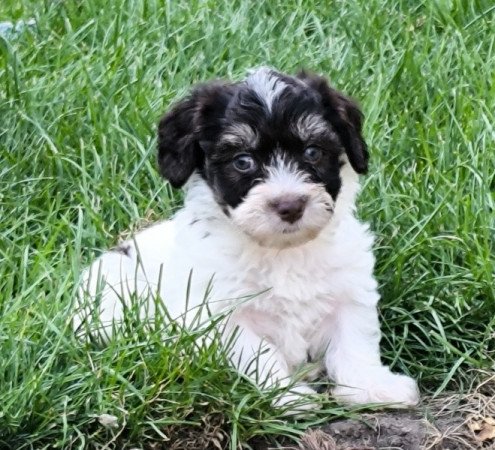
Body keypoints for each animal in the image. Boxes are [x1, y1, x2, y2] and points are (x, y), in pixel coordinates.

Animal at [75, 67, 420, 408]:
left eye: (312, 152)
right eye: (243, 161)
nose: (290, 206)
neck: (283, 251)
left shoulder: (349, 291)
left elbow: (354, 342)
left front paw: (372, 386)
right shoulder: (223, 315)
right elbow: (259, 353)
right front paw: (289, 396)